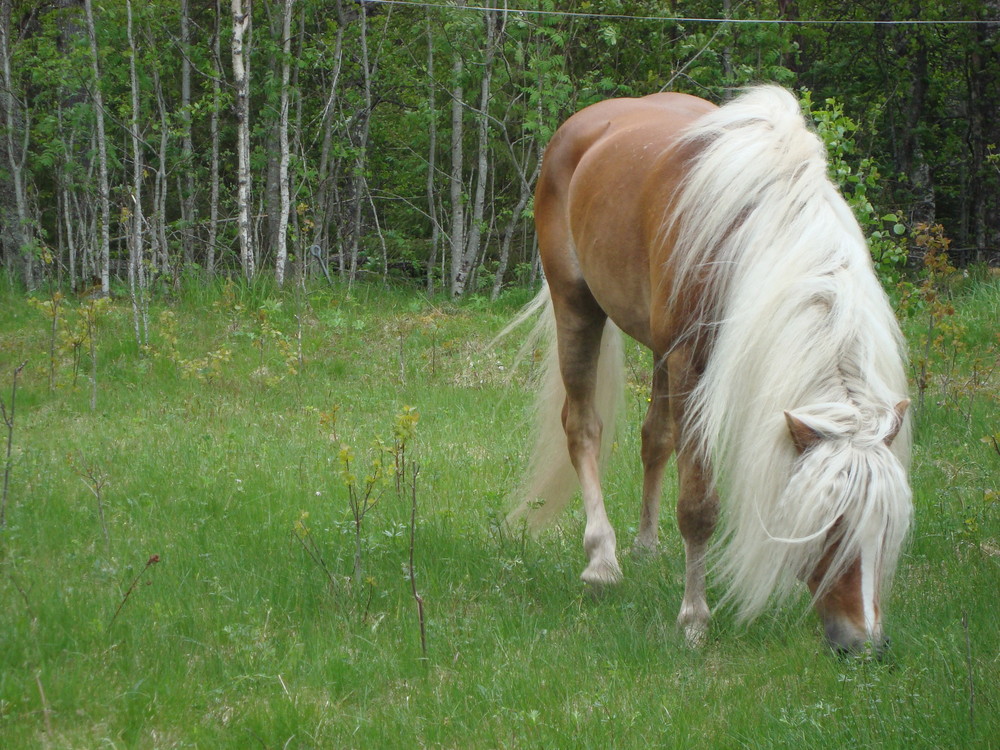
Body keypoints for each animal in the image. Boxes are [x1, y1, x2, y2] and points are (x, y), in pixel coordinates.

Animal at [508, 85, 916, 656]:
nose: (863, 645)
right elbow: (698, 505)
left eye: (889, 527)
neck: (751, 230)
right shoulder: (691, 364)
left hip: (655, 348)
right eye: (830, 526)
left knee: (655, 437)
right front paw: (694, 618)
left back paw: (645, 546)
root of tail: (581, 125)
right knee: (583, 427)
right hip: (577, 306)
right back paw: (602, 561)